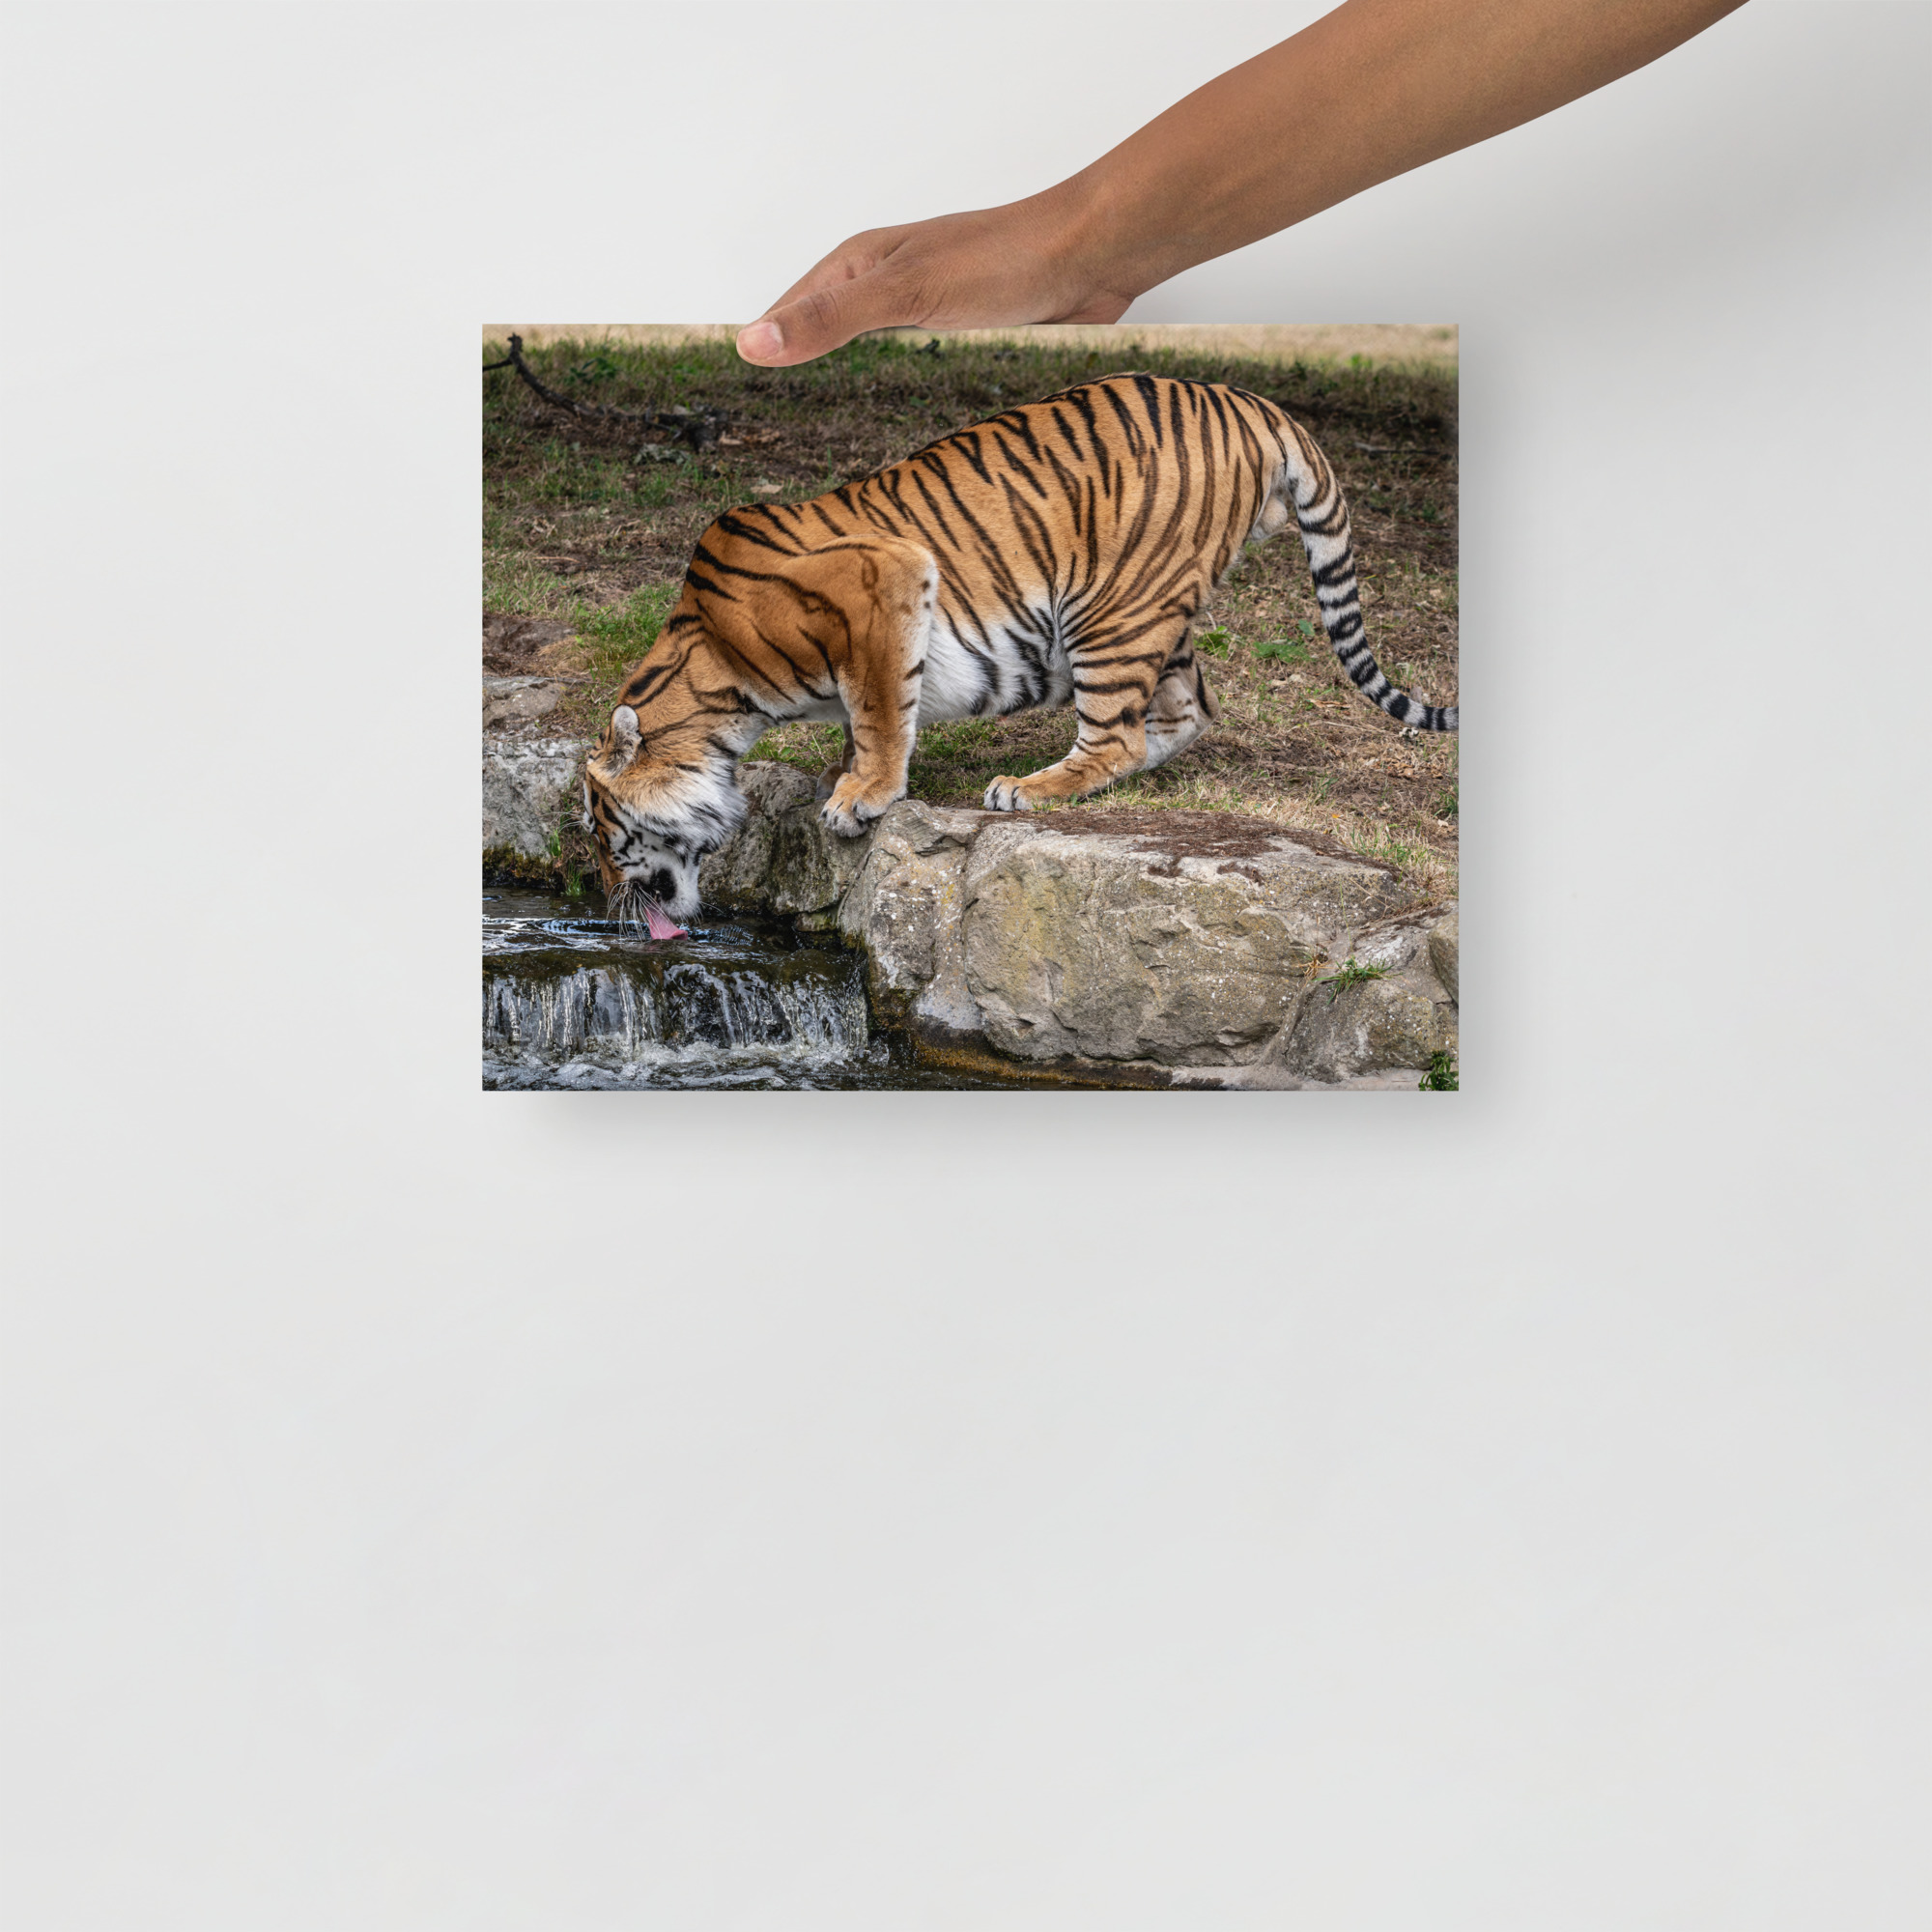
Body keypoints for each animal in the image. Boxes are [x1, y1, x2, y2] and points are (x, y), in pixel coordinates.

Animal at [583, 372, 1456, 939]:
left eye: (599, 829)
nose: (604, 902)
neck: (715, 680)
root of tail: (1254, 403)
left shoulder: (886, 581)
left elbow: (880, 711)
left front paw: (861, 796)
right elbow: (868, 716)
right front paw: (845, 775)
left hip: (1109, 607)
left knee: (1117, 735)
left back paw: (1028, 788)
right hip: (1154, 611)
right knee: (1189, 710)